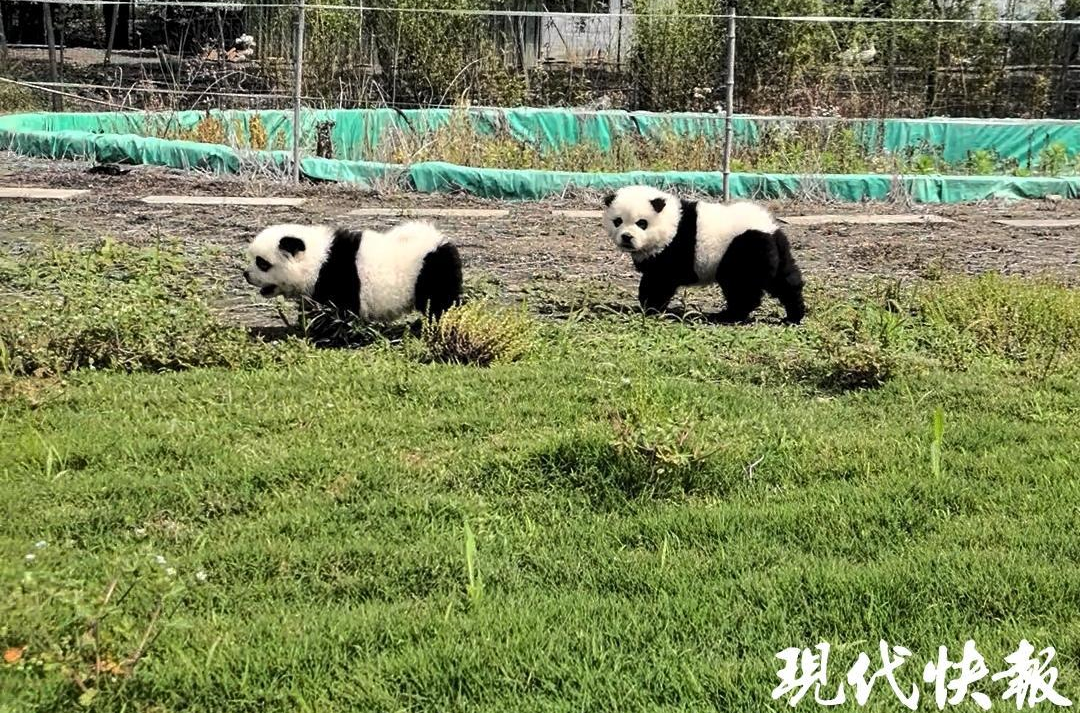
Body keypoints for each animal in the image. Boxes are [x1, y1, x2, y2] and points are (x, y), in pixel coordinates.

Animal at [243, 220, 462, 324]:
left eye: (262, 263)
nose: (246, 275)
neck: (318, 259)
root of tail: (438, 239)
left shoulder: (337, 276)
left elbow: (339, 311)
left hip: (431, 270)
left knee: (440, 302)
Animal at [604, 183, 807, 324]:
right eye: (618, 221)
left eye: (642, 223)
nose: (627, 237)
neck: (672, 219)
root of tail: (769, 228)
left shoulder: (675, 248)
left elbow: (660, 280)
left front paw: (650, 307)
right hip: (775, 250)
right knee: (786, 280)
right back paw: (794, 315)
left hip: (743, 249)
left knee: (741, 287)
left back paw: (727, 316)